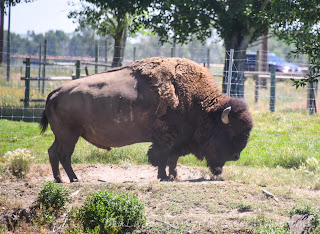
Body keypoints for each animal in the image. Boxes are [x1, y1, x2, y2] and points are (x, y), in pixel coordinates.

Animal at [40, 56, 252, 183]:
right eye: (229, 130)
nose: (236, 156)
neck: (200, 105)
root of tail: (56, 92)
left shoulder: (176, 142)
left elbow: (172, 159)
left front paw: (173, 176)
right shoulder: (167, 139)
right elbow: (162, 158)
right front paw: (165, 177)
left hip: (62, 136)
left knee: (53, 152)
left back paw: (60, 179)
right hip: (69, 135)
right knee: (64, 155)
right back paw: (74, 179)